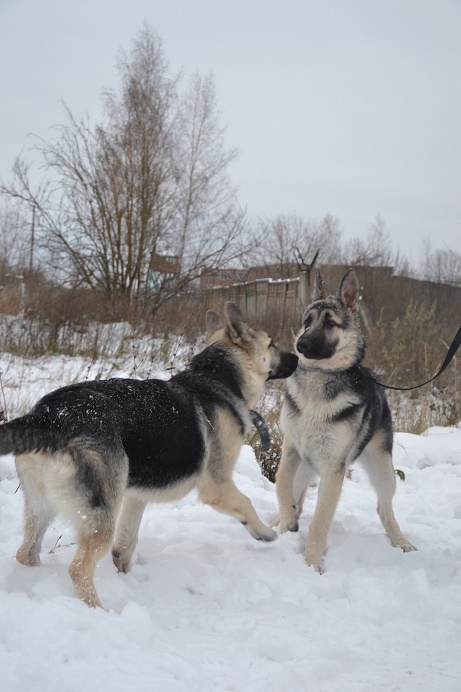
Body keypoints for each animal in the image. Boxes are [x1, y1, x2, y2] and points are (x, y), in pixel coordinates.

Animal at [0, 306, 298, 608]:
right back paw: (98, 610)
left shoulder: (136, 497)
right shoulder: (218, 486)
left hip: (42, 505)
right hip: (100, 515)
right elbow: (246, 503)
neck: (215, 378)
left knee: (27, 551)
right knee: (78, 569)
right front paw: (263, 532)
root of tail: (50, 414)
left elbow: (125, 545)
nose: (298, 356)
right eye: (272, 343)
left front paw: (125, 572)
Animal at [272, 268, 416, 572]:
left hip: (384, 470)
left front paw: (313, 565)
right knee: (297, 497)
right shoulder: (291, 450)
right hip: (307, 466)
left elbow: (320, 522)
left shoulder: (333, 470)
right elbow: (281, 484)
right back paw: (277, 522)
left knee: (384, 508)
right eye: (307, 322)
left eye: (330, 323)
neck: (319, 380)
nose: (301, 344)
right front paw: (287, 519)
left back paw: (400, 541)